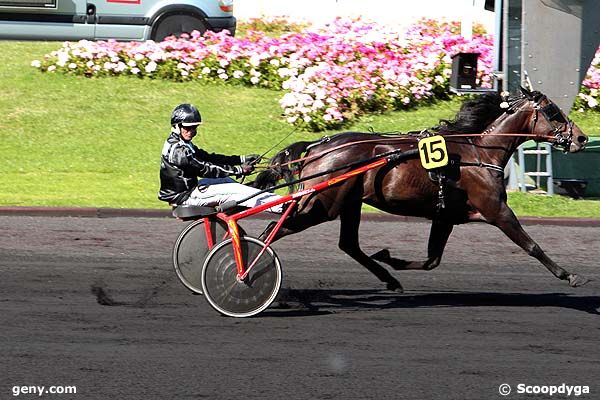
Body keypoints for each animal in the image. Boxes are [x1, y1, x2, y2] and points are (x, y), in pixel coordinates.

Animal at [255, 89, 588, 292]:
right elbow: (531, 245)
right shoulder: (497, 210)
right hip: (324, 204)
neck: (479, 152)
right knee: (275, 229)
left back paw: (390, 279)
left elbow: (432, 260)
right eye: (554, 112)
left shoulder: (445, 217)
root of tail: (317, 147)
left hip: (348, 203)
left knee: (348, 244)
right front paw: (569, 275)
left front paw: (391, 258)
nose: (582, 138)